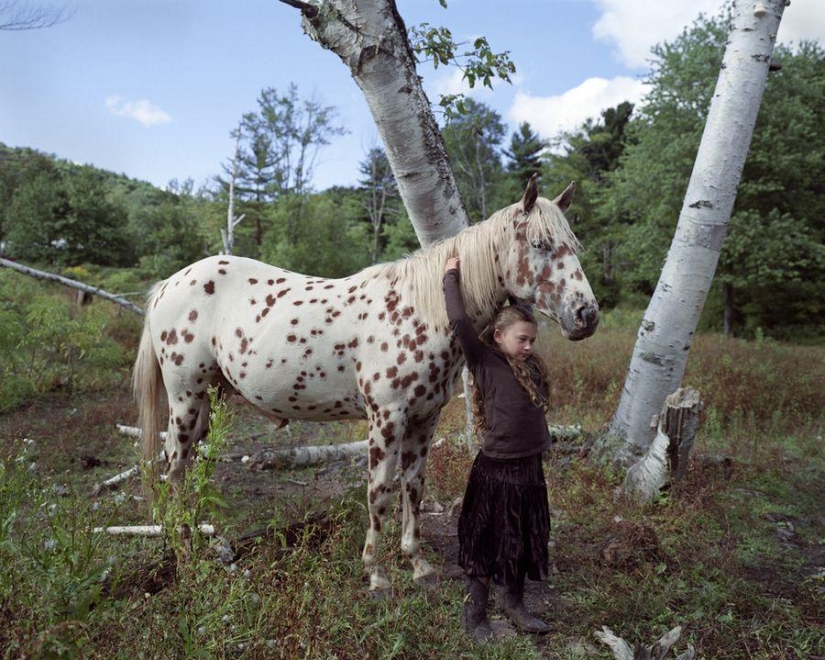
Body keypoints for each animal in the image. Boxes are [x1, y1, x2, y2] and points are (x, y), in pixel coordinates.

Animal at [134, 175, 600, 592]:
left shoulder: (423, 420)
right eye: (539, 244)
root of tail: (169, 285)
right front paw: (376, 574)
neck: (421, 310)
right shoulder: (386, 419)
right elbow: (379, 491)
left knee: (185, 468)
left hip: (207, 401)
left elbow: (413, 487)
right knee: (174, 467)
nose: (586, 315)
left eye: (574, 245)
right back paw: (183, 553)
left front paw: (417, 565)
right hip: (185, 398)